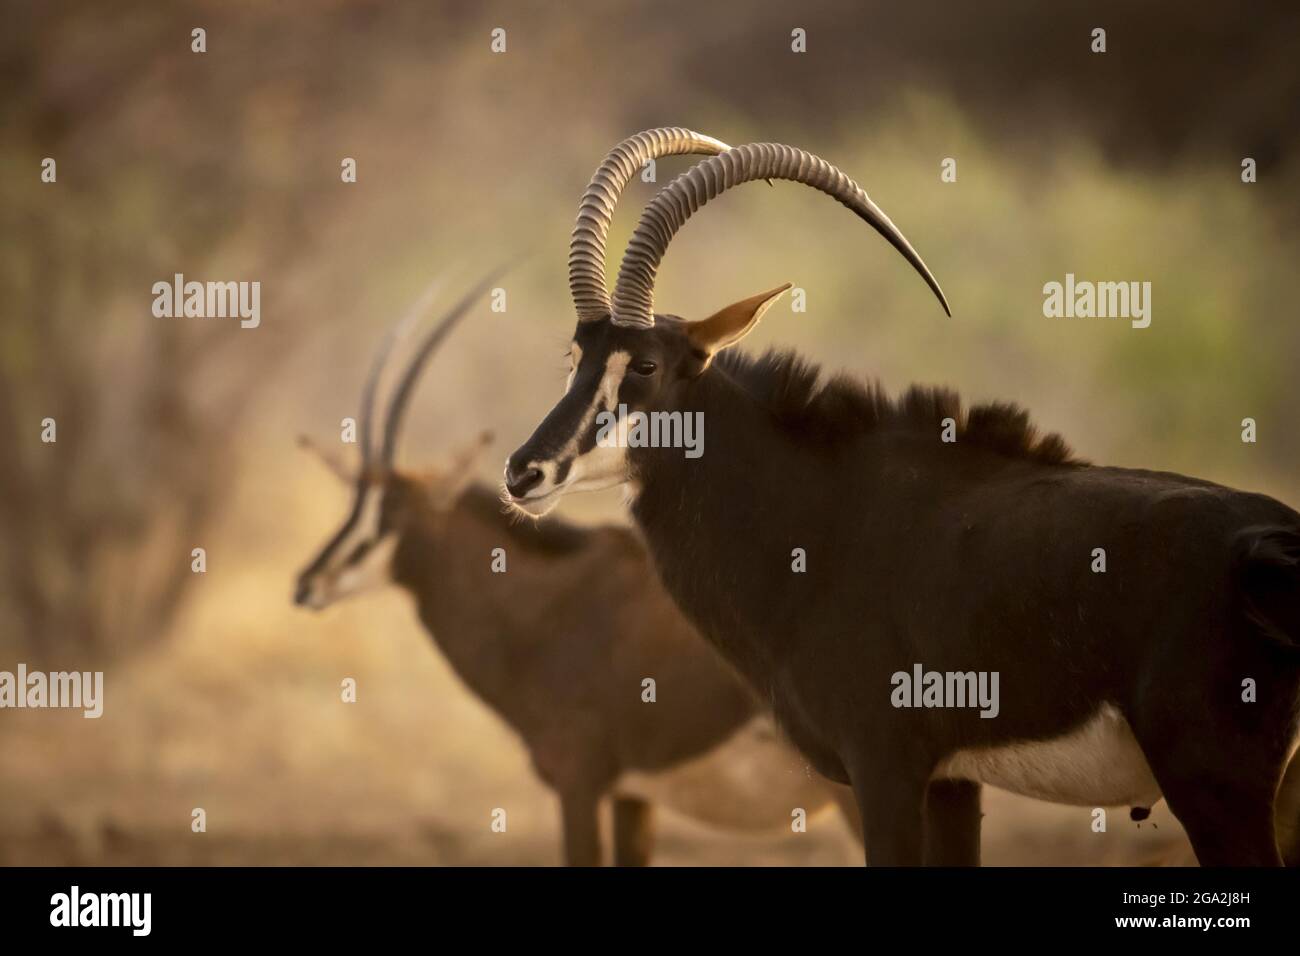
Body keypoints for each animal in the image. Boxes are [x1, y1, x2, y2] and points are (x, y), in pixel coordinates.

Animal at [293, 272, 858, 866]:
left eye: (392, 515)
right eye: (353, 504)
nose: (308, 585)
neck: (553, 605)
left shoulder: (578, 781)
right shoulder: (633, 794)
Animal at [505, 128, 1300, 866]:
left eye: (644, 365)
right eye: (574, 357)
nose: (524, 473)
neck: (822, 518)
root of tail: (1264, 550)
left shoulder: (884, 767)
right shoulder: (952, 781)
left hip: (1213, 785)